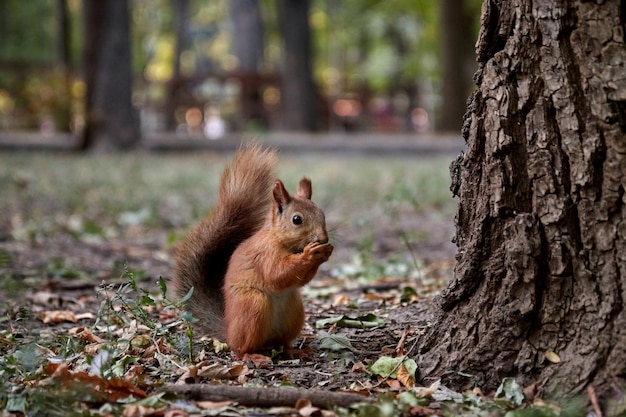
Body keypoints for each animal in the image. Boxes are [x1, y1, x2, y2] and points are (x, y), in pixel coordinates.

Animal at [171, 141, 332, 356]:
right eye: (297, 219)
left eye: (322, 214)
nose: (323, 239)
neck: (281, 241)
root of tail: (229, 333)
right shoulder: (263, 254)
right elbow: (276, 274)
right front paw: (310, 254)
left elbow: (298, 279)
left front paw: (325, 252)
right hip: (253, 305)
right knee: (242, 348)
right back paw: (253, 356)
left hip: (294, 308)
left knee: (281, 342)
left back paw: (294, 351)